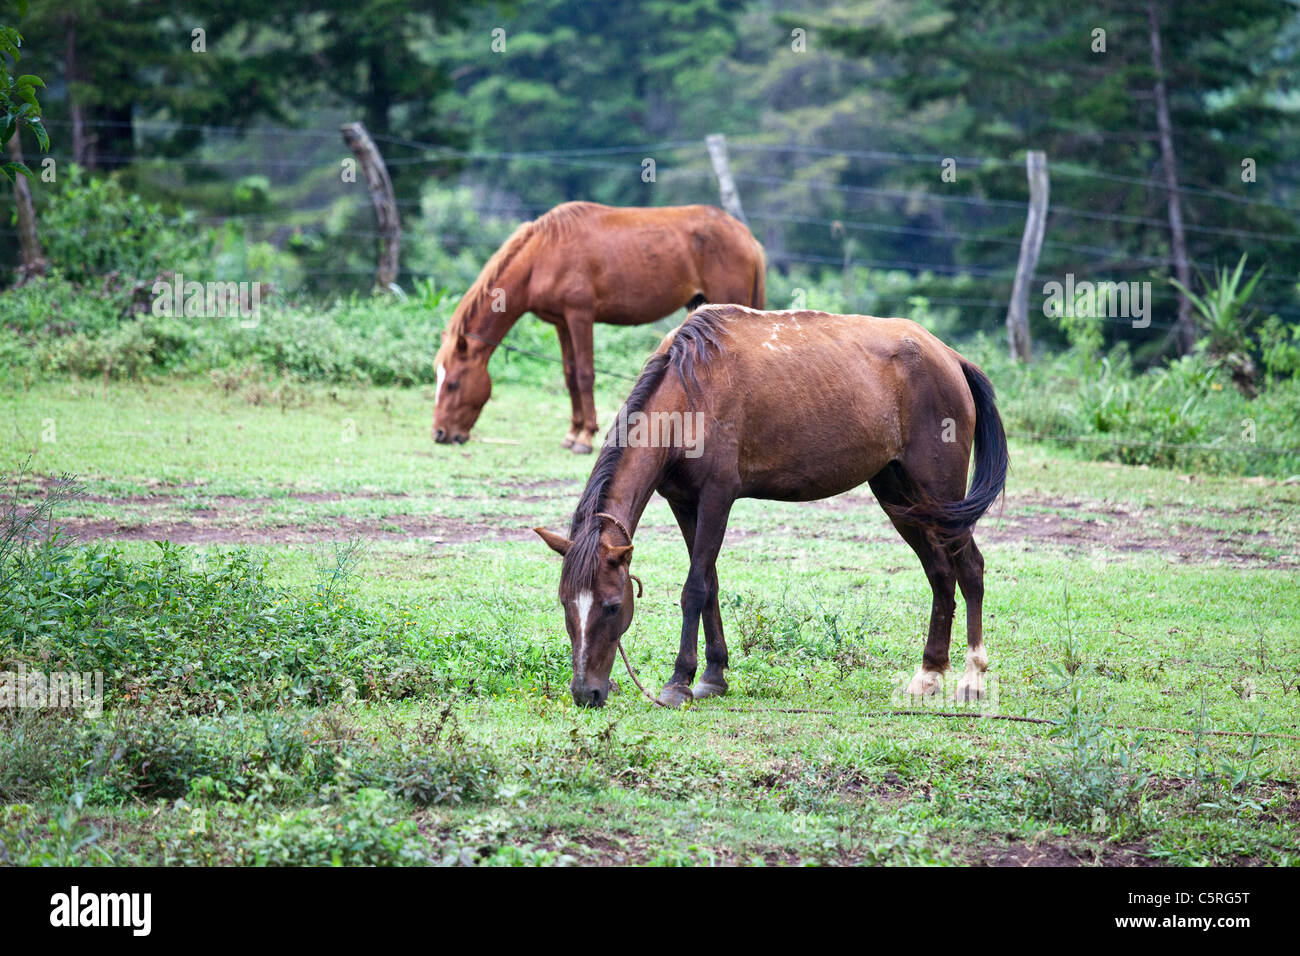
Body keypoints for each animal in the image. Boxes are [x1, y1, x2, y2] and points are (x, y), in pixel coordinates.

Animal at [431, 201, 764, 452]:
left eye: (453, 383)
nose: (439, 433)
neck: (543, 255)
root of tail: (745, 235)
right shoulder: (561, 323)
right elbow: (569, 376)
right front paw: (573, 433)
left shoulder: (580, 316)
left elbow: (584, 374)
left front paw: (585, 437)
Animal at [533, 306, 1008, 712]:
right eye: (565, 604)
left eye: (613, 606)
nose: (587, 693)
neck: (690, 391)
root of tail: (949, 357)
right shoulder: (684, 504)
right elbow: (711, 584)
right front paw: (714, 676)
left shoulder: (717, 497)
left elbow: (694, 589)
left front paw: (679, 682)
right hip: (901, 496)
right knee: (940, 573)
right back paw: (929, 674)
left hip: (940, 492)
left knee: (970, 568)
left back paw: (973, 678)